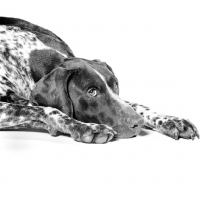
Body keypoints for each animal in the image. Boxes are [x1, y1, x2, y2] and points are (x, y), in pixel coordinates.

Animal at [0, 16, 198, 142]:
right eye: (91, 92)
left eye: (116, 85)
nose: (138, 124)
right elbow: (46, 110)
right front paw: (87, 128)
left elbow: (137, 105)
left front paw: (170, 120)